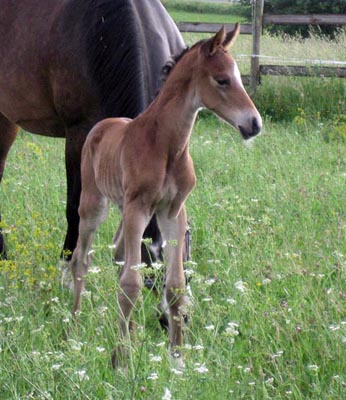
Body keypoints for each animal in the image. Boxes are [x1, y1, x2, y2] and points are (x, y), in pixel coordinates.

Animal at [70, 25, 262, 368]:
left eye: (240, 77)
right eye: (222, 80)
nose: (254, 124)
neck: (165, 146)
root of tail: (101, 126)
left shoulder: (172, 211)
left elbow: (174, 286)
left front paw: (177, 358)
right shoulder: (138, 207)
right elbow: (131, 283)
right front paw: (121, 360)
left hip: (124, 209)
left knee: (118, 252)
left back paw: (130, 330)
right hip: (95, 205)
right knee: (83, 258)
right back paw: (76, 323)